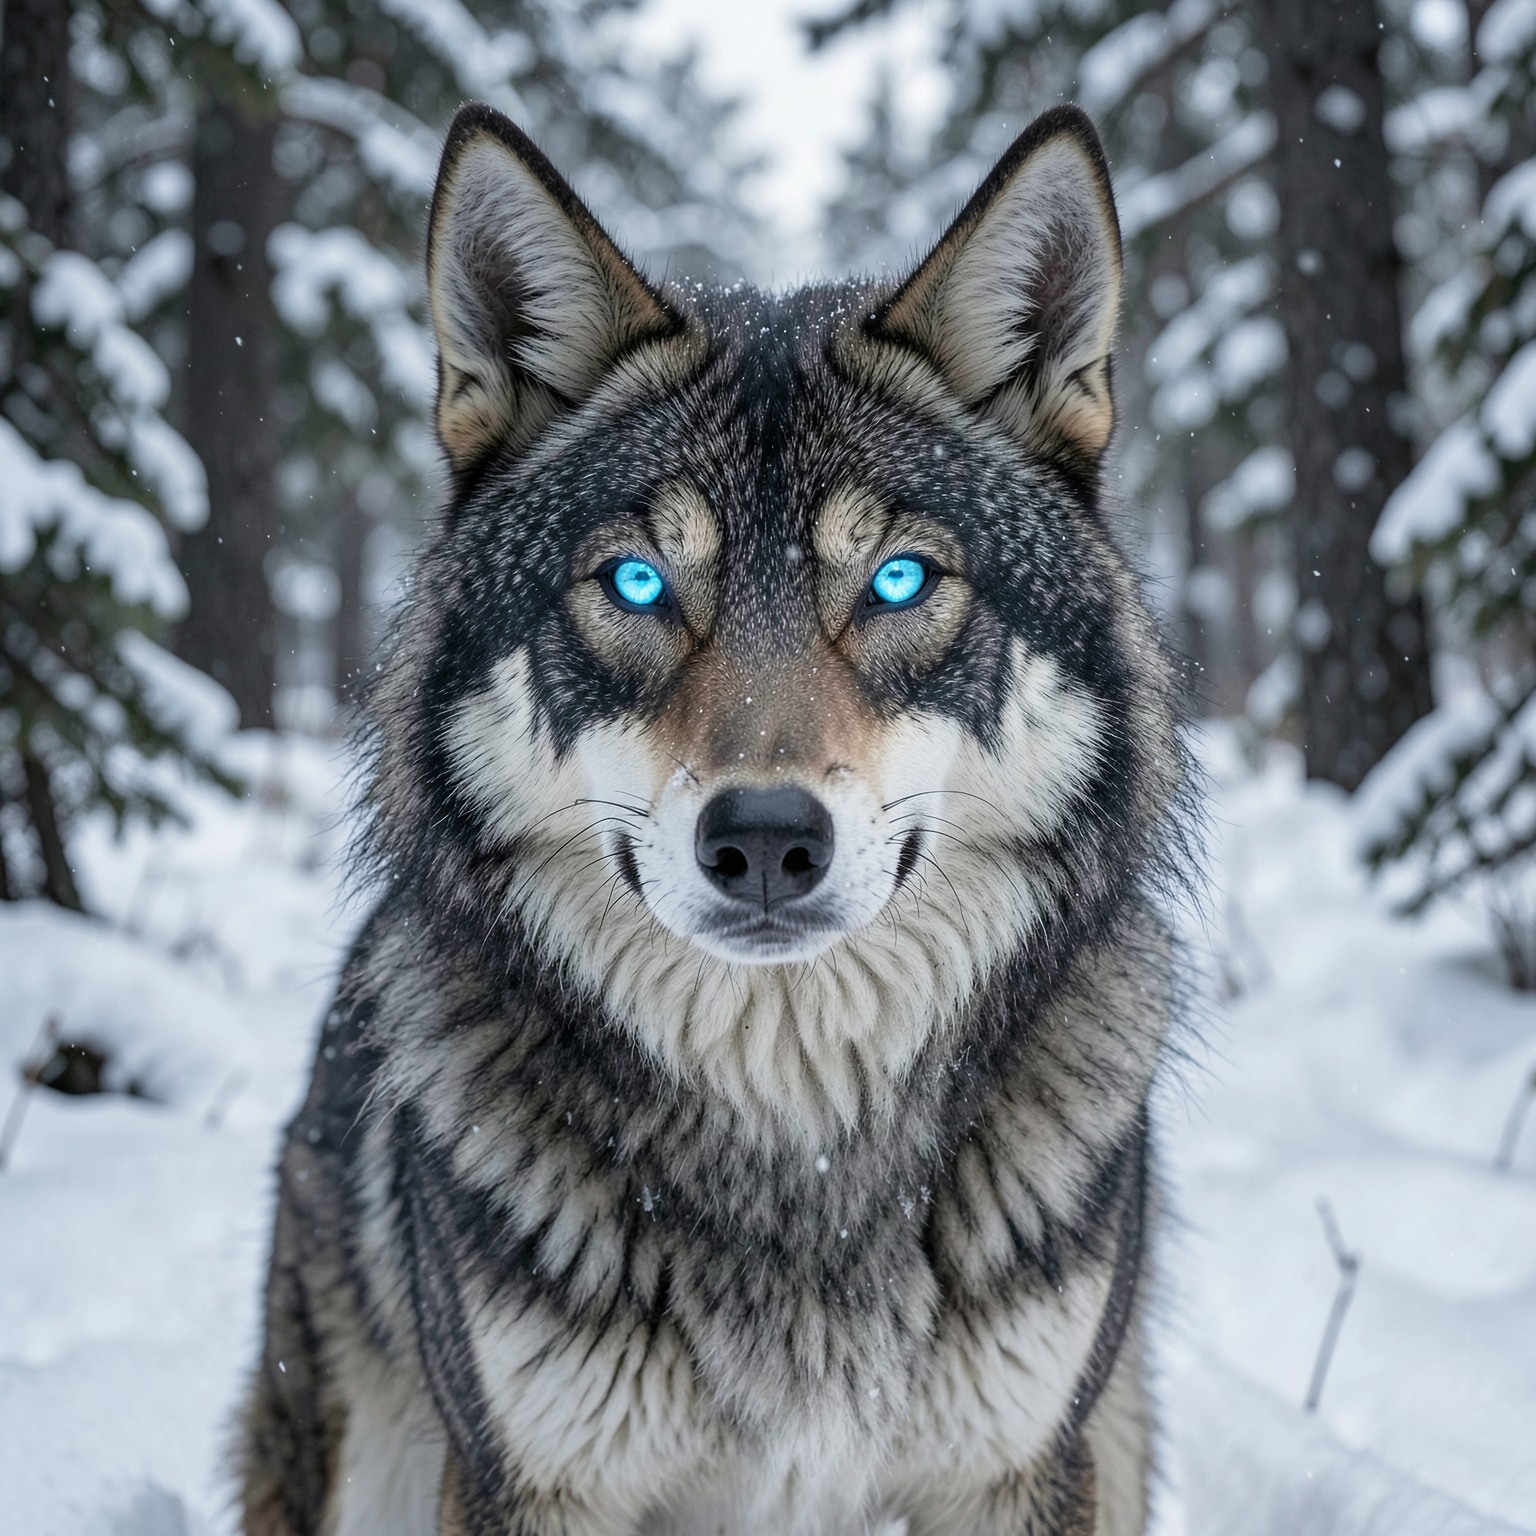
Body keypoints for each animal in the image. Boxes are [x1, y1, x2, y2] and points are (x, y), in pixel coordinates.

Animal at [239, 98, 1188, 1536]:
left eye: (898, 581)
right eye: (638, 583)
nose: (766, 841)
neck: (799, 1157)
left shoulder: (1019, 1471)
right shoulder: (530, 1482)